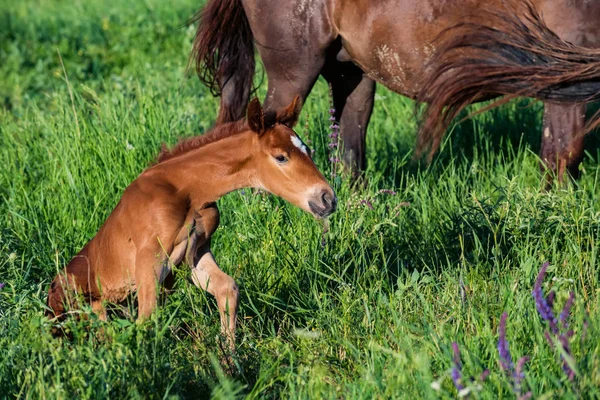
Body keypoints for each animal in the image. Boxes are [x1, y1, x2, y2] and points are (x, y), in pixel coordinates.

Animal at [45, 97, 338, 350]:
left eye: (307, 150)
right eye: (280, 157)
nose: (328, 198)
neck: (186, 190)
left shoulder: (196, 252)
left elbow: (227, 289)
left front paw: (230, 358)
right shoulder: (148, 258)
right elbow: (147, 317)